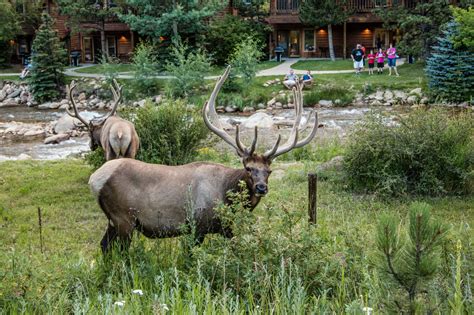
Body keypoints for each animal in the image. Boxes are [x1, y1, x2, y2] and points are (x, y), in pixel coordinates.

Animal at [89, 66, 318, 254]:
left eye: (269, 171)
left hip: (114, 220)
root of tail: (94, 180)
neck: (227, 196)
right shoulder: (197, 225)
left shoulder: (227, 229)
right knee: (119, 251)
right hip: (124, 218)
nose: (261, 187)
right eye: (248, 168)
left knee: (103, 246)